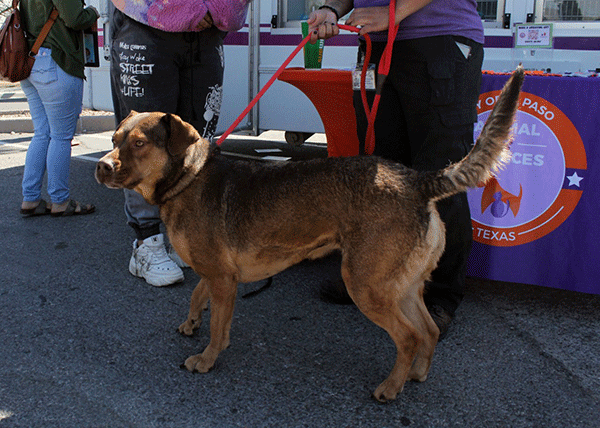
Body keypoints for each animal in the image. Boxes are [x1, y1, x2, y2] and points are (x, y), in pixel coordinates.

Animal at [96, 68, 524, 400]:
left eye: (138, 143)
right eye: (114, 139)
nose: (101, 167)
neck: (187, 178)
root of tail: (415, 181)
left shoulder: (222, 278)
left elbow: (219, 328)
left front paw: (207, 359)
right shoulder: (219, 276)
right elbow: (197, 295)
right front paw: (191, 323)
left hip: (366, 285)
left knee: (408, 338)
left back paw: (390, 387)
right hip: (401, 286)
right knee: (429, 330)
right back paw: (416, 375)